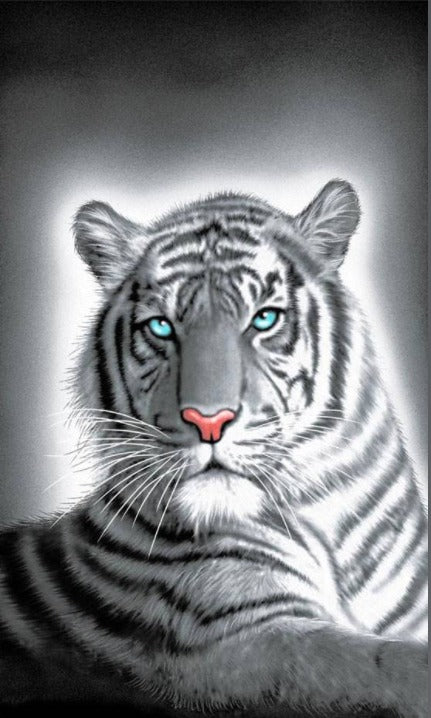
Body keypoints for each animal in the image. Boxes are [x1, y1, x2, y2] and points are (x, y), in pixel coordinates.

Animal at [0, 179, 427, 717]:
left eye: (264, 319)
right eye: (162, 326)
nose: (209, 421)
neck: (331, 535)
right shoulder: (231, 638)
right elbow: (382, 665)